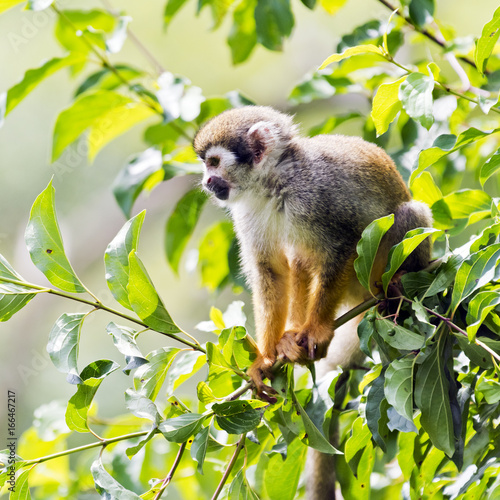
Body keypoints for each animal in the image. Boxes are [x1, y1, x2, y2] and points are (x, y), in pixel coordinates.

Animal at [194, 106, 434, 398]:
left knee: (409, 214)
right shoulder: (247, 213)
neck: (273, 185)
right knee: (300, 257)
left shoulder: (316, 193)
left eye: (214, 162)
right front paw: (266, 359)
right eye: (207, 164)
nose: (206, 181)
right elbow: (270, 271)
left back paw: (400, 278)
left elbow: (347, 242)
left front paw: (317, 330)